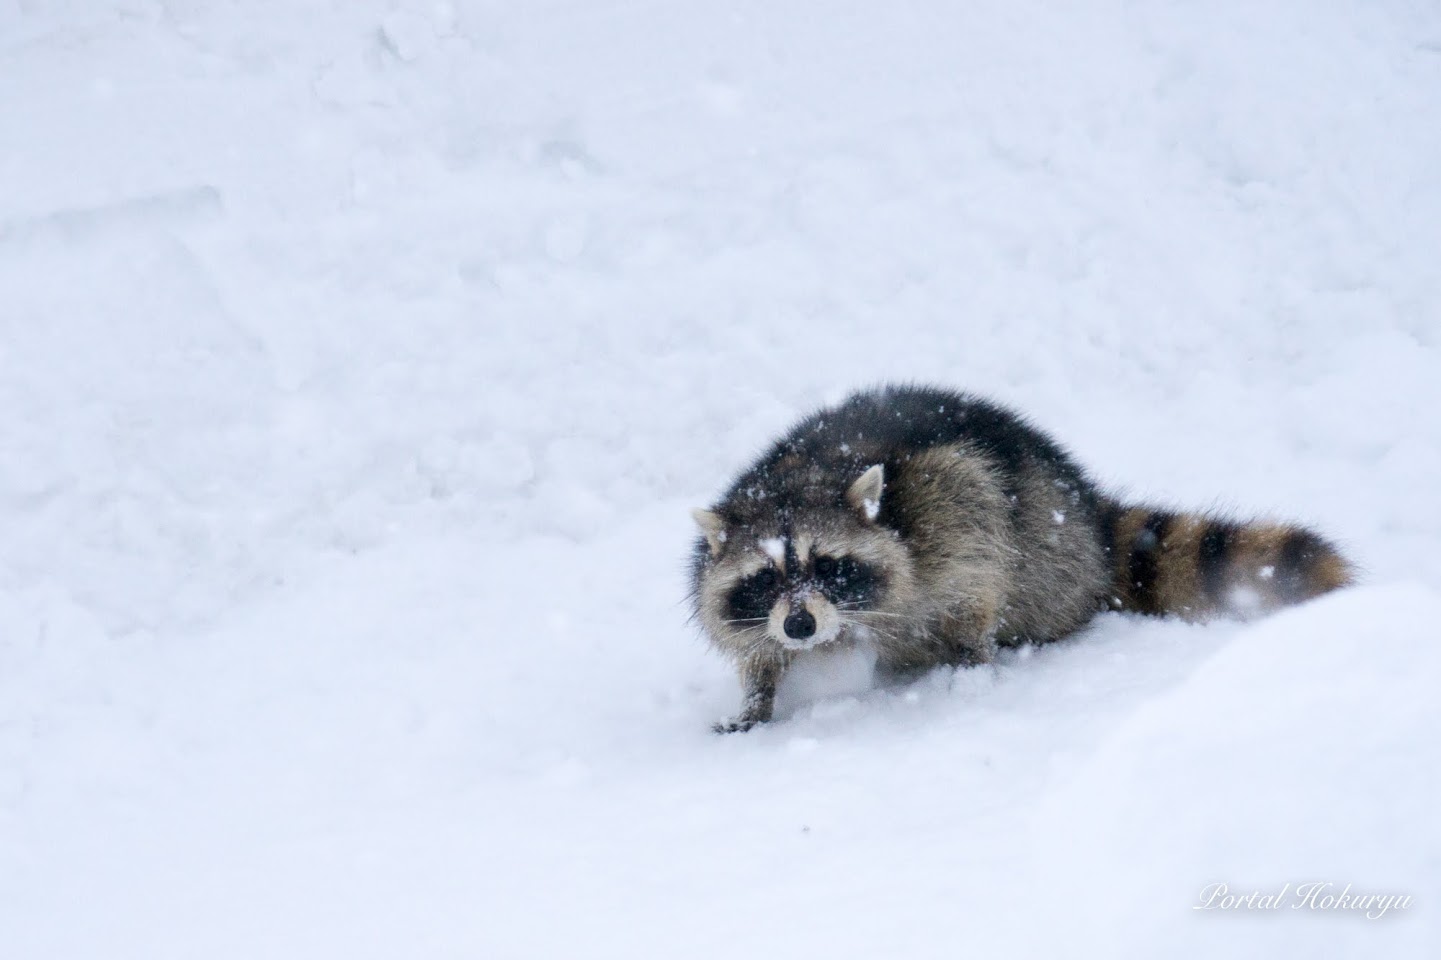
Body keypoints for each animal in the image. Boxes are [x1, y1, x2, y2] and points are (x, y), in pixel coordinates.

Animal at [691, 386, 1354, 729]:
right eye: (765, 576)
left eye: (827, 564)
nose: (801, 625)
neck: (801, 476)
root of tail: (1085, 505)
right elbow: (755, 648)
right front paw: (757, 697)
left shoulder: (945, 500)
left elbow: (976, 570)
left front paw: (972, 654)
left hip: (1051, 550)